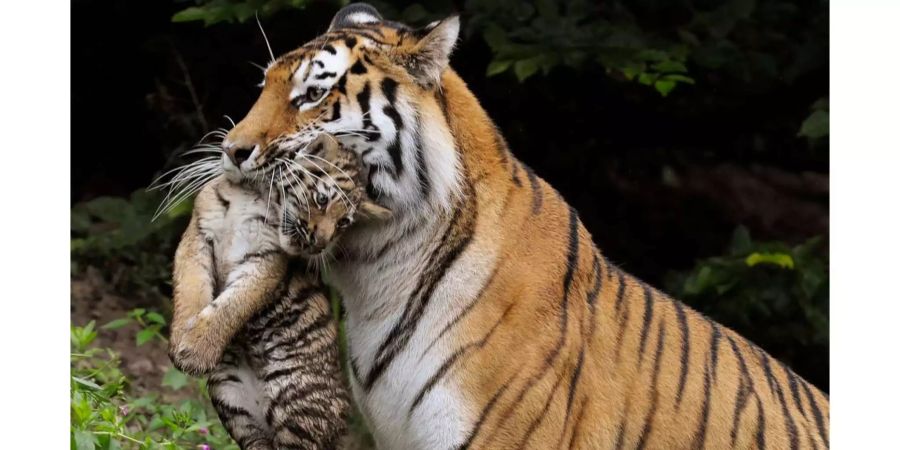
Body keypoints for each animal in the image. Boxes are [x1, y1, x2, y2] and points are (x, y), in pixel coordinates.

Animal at [171, 135, 388, 448]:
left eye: (344, 223)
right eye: (322, 199)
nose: (319, 243)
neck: (249, 190)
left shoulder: (264, 261)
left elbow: (235, 304)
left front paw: (195, 353)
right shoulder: (198, 236)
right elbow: (190, 287)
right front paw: (182, 344)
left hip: (295, 402)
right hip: (234, 402)